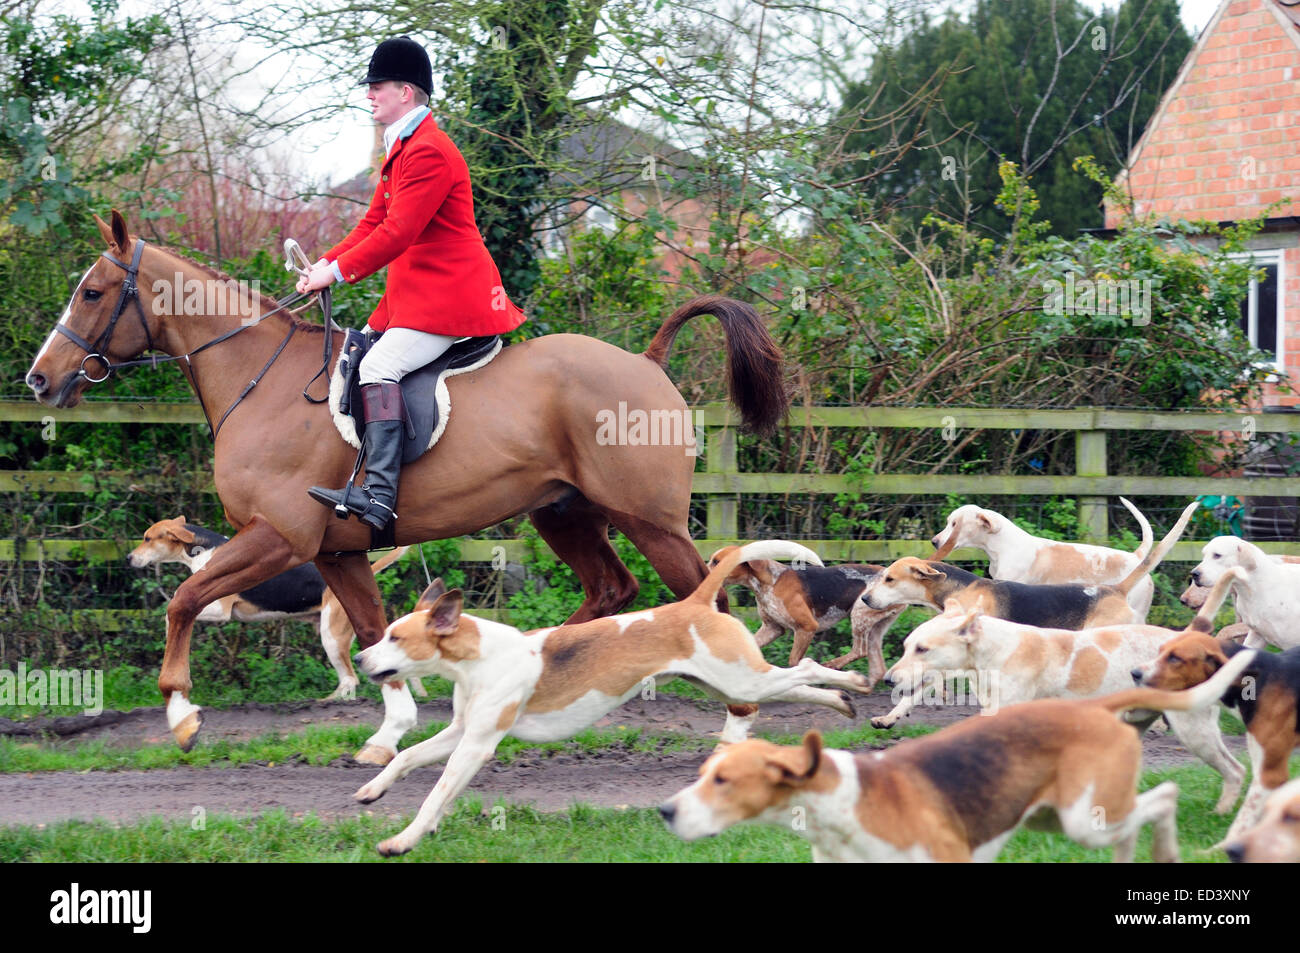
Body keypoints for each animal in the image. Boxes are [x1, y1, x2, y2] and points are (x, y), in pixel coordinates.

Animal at [25, 211, 785, 764]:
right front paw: (388, 735)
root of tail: (646, 360)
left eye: (92, 292)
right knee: (611, 590)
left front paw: (181, 714)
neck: (259, 379)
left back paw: (733, 729)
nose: (39, 379)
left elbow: (183, 601)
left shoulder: (277, 537)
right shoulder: (335, 551)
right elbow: (370, 635)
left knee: (707, 601)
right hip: (565, 515)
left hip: (650, 520)